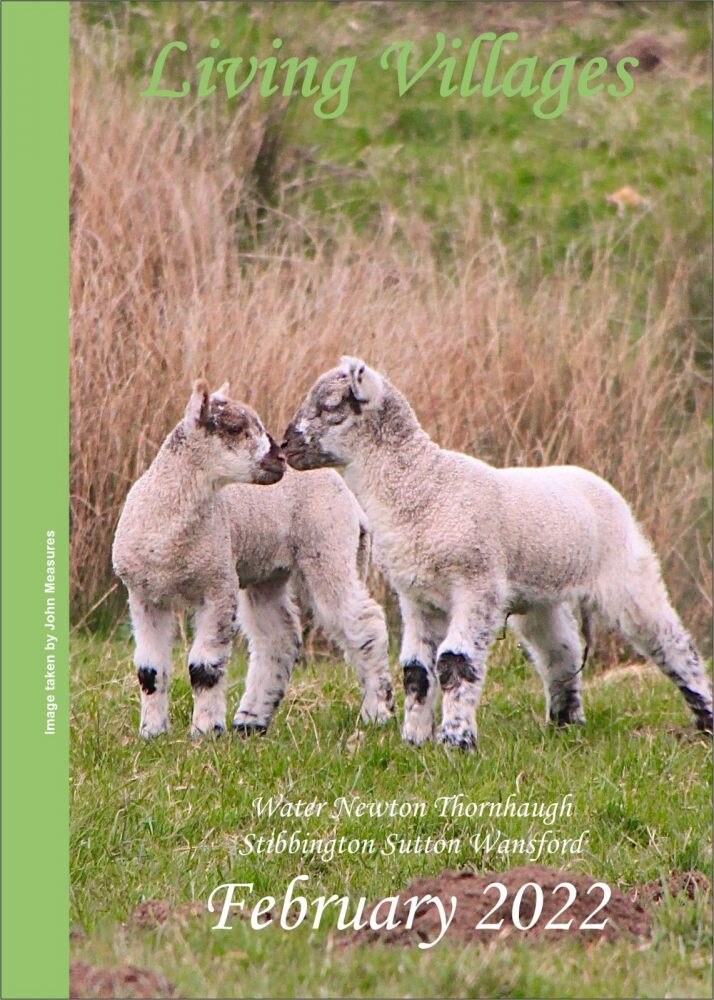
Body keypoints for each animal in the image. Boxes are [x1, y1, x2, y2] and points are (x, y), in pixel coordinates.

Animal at [113, 380, 394, 739]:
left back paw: (378, 712)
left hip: (328, 545)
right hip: (268, 572)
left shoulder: (218, 585)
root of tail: (352, 502)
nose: (279, 457)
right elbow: (149, 670)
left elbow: (204, 667)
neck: (167, 537)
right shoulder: (143, 596)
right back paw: (250, 721)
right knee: (279, 639)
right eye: (235, 428)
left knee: (364, 623)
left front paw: (206, 731)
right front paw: (152, 733)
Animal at [283, 356, 713, 749]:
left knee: (671, 640)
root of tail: (595, 480)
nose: (285, 444)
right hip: (540, 595)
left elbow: (454, 662)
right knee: (561, 651)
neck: (422, 485)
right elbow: (416, 670)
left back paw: (704, 717)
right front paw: (414, 741)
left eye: (330, 406)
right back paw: (565, 722)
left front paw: (456, 742)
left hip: (626, 573)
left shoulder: (476, 584)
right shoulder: (416, 595)